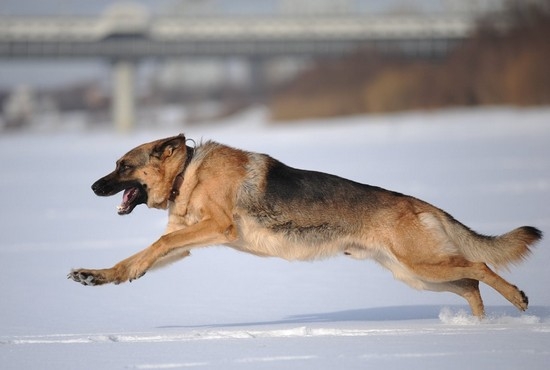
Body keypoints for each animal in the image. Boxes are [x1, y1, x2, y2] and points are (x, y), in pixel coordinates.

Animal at [68, 134, 544, 316]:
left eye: (123, 166)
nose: (91, 186)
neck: (189, 172)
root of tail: (420, 203)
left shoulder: (216, 227)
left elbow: (153, 246)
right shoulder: (184, 242)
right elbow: (142, 254)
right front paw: (101, 275)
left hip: (423, 266)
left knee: (480, 268)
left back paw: (517, 301)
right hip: (418, 275)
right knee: (471, 285)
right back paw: (481, 327)